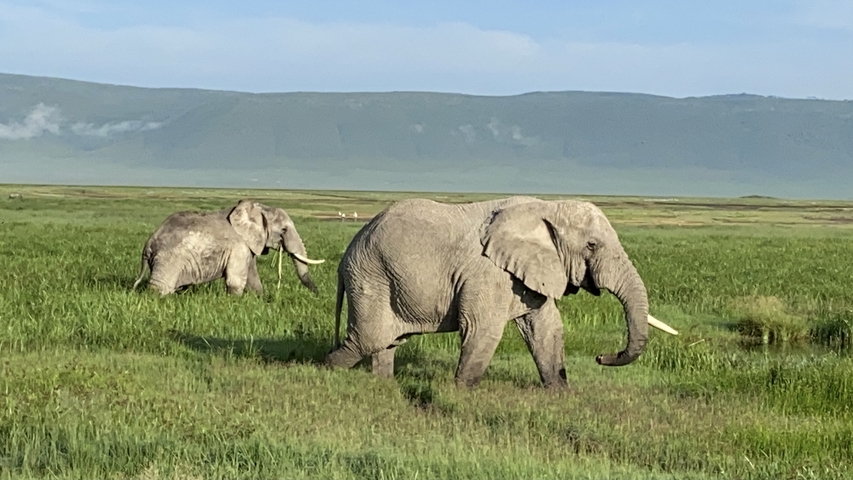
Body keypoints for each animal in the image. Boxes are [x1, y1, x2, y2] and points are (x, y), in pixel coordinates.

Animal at [132, 199, 325, 296]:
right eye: (284, 230)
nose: (318, 295)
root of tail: (148, 243)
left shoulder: (248, 247)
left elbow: (253, 278)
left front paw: (260, 299)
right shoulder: (239, 246)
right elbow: (235, 281)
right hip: (169, 259)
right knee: (159, 288)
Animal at [325, 196, 677, 389]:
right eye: (592, 245)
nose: (601, 357)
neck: (546, 206)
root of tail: (346, 254)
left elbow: (546, 329)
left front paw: (561, 395)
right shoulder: (487, 273)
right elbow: (483, 329)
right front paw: (460, 395)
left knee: (388, 341)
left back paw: (382, 383)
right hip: (370, 276)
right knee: (368, 338)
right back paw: (326, 371)